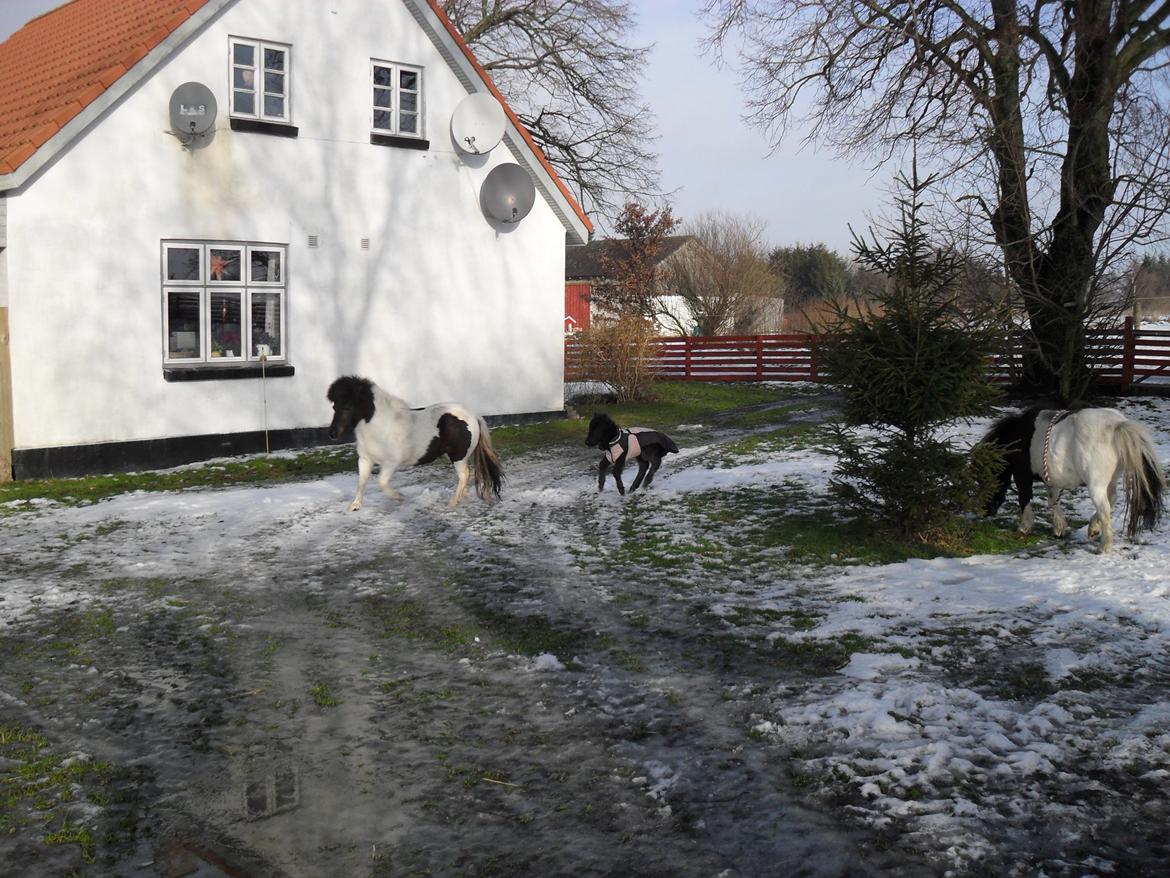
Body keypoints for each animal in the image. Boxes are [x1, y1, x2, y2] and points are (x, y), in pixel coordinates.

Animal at [325, 376, 503, 512]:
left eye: (348, 406)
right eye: (334, 406)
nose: (332, 434)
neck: (379, 425)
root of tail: (472, 414)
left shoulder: (391, 463)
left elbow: (382, 482)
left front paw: (399, 497)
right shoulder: (365, 460)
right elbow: (361, 483)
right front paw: (354, 506)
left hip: (458, 456)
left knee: (464, 475)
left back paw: (452, 503)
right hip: (457, 456)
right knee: (467, 474)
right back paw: (461, 497)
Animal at [978, 405, 1160, 550]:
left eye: (983, 480)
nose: (984, 512)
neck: (1019, 436)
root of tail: (1117, 425)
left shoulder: (1022, 477)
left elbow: (1025, 500)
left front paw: (1024, 527)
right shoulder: (1050, 480)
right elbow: (1053, 500)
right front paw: (1059, 528)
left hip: (1095, 486)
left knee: (1105, 509)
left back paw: (1104, 547)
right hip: (1110, 481)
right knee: (1111, 500)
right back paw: (1093, 528)